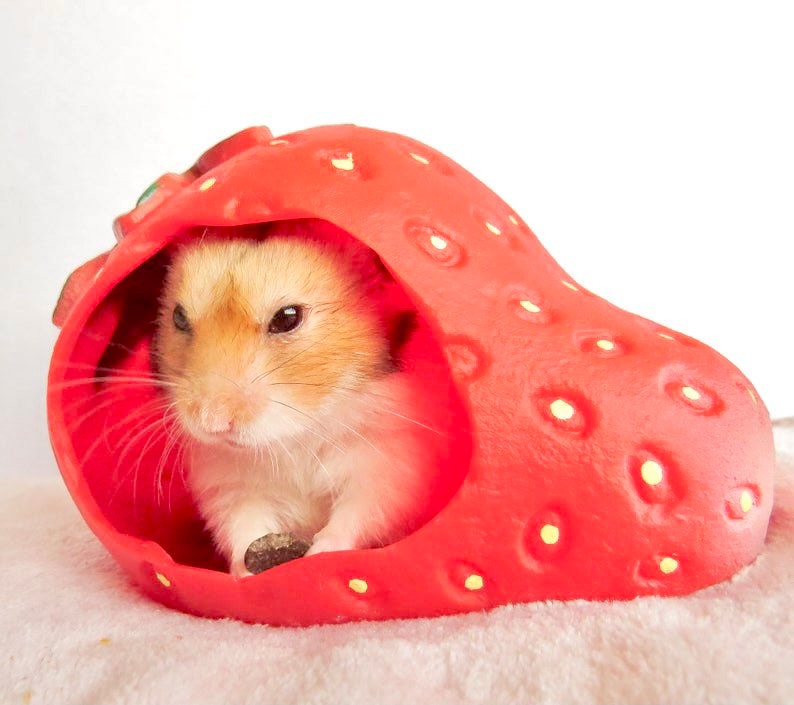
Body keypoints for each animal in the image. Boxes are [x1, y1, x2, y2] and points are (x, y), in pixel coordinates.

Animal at [154, 220, 448, 576]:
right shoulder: (229, 482)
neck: (299, 430)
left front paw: (318, 554)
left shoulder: (387, 468)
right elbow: (243, 524)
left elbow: (356, 513)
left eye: (287, 317)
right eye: (179, 317)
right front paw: (243, 573)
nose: (212, 424)